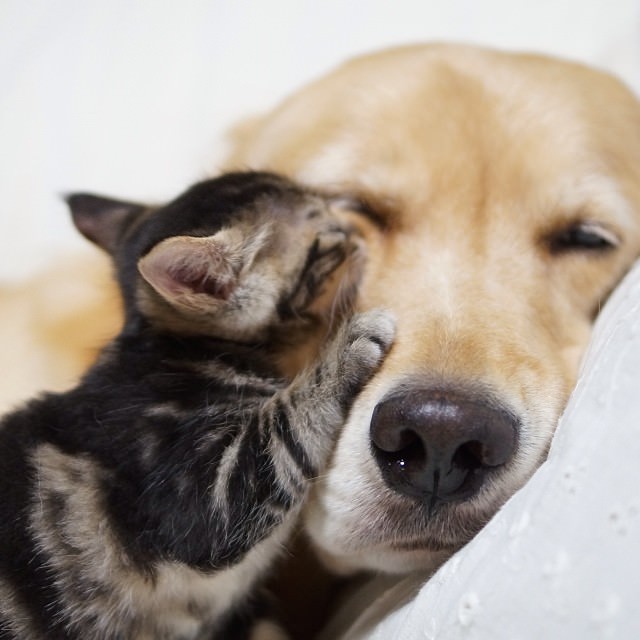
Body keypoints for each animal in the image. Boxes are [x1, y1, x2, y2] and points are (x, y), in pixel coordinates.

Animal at [0, 171, 396, 640]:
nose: (355, 230)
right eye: (329, 239)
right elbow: (281, 429)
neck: (191, 349)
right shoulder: (198, 493)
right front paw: (349, 344)